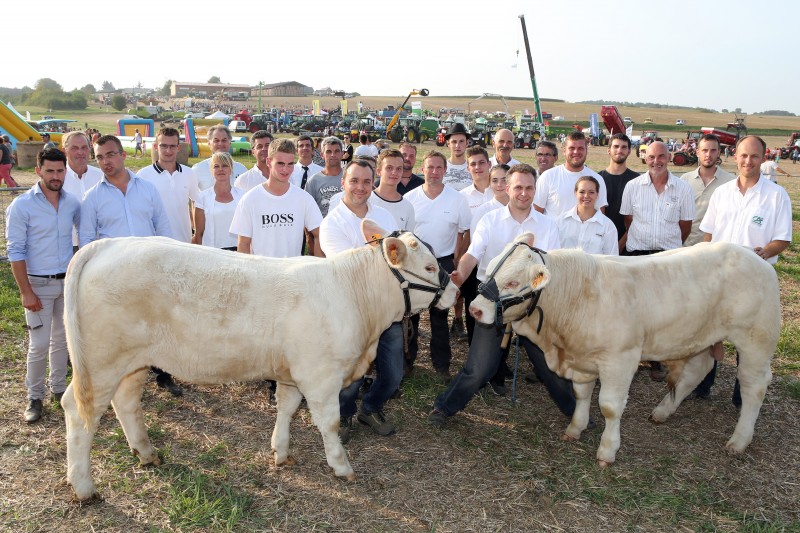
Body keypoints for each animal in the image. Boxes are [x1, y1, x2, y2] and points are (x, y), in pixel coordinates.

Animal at [62, 219, 456, 498]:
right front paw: (341, 466)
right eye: (430, 267)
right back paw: (83, 487)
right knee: (79, 411)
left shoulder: (293, 372)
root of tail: (110, 244)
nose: (454, 289)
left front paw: (281, 452)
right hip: (101, 362)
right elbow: (328, 424)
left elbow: (286, 407)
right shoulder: (321, 376)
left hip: (132, 361)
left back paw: (146, 452)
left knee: (126, 403)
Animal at [472, 235, 780, 468]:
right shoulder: (582, 360)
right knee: (696, 371)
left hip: (755, 341)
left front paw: (607, 451)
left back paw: (739, 440)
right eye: (490, 269)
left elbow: (610, 406)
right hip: (699, 337)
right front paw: (575, 429)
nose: (475, 309)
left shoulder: (619, 359)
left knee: (754, 386)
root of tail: (752, 255)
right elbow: (581, 395)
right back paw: (663, 411)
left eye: (512, 282)